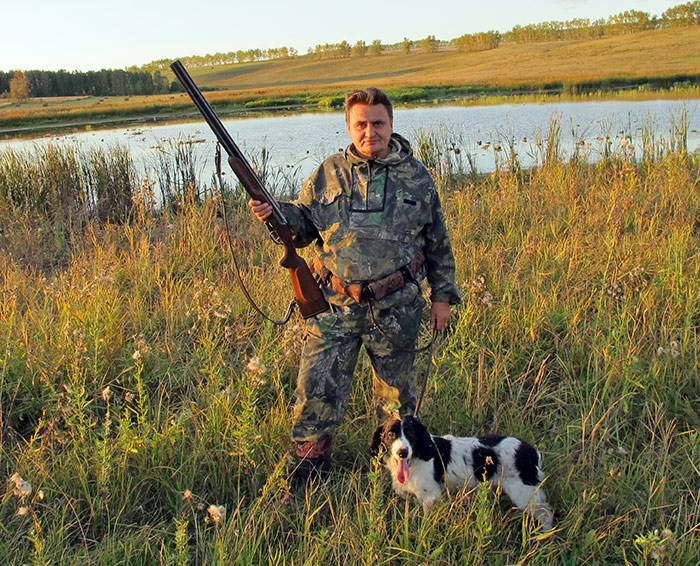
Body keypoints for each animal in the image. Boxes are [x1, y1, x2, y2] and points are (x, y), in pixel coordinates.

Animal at [370, 415, 554, 530]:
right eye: (391, 434)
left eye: (411, 434)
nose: (402, 452)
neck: (416, 456)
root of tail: (530, 451)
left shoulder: (431, 497)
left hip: (525, 493)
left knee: (546, 514)